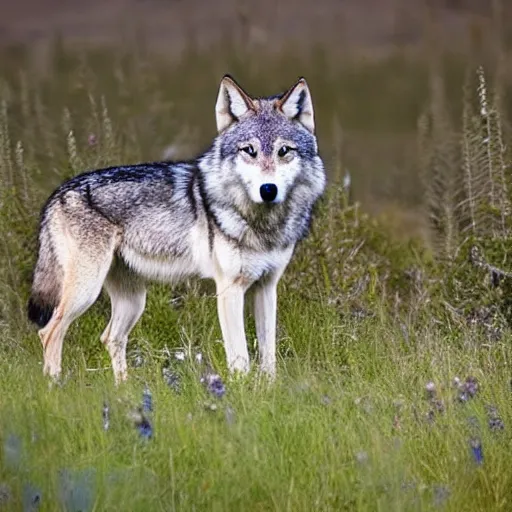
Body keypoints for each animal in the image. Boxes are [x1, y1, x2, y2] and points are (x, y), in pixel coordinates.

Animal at [26, 74, 326, 382]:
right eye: (249, 151)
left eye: (283, 151)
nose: (268, 190)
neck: (262, 225)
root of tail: (59, 193)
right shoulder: (229, 289)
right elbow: (240, 359)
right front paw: (241, 392)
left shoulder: (267, 287)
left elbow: (269, 358)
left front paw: (267, 390)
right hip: (86, 293)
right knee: (48, 332)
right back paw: (55, 387)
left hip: (133, 301)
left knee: (109, 337)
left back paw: (124, 390)